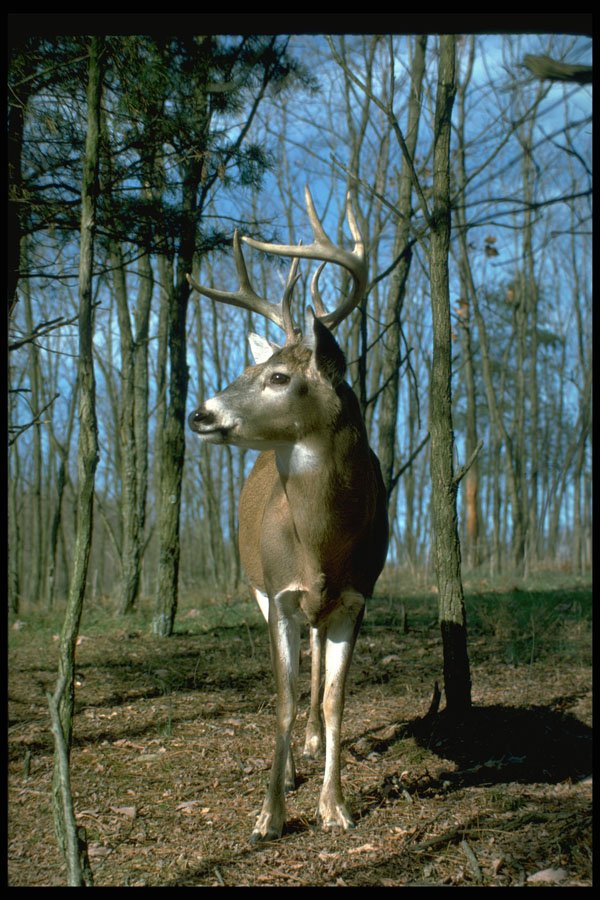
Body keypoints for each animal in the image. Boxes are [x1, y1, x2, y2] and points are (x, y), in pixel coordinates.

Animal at [187, 186, 389, 843]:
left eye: (278, 376)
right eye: (249, 369)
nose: (200, 414)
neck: (321, 543)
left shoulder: (355, 595)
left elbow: (334, 699)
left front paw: (337, 808)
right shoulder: (276, 592)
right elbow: (283, 697)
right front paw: (269, 814)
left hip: (322, 608)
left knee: (318, 658)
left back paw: (312, 746)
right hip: (256, 587)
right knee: (299, 670)